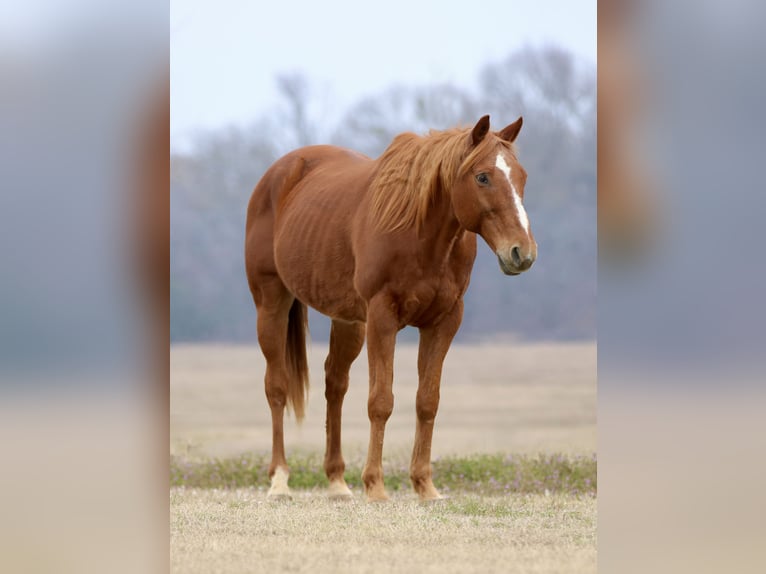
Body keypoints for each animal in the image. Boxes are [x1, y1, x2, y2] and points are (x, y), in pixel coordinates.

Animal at [245, 115, 536, 501]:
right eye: (483, 177)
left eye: (521, 176)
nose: (522, 252)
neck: (421, 235)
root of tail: (279, 172)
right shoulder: (382, 318)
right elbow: (380, 401)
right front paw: (376, 486)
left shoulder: (444, 321)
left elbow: (427, 401)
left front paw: (425, 485)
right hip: (271, 303)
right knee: (277, 387)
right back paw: (279, 479)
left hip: (348, 321)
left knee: (335, 385)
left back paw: (337, 481)